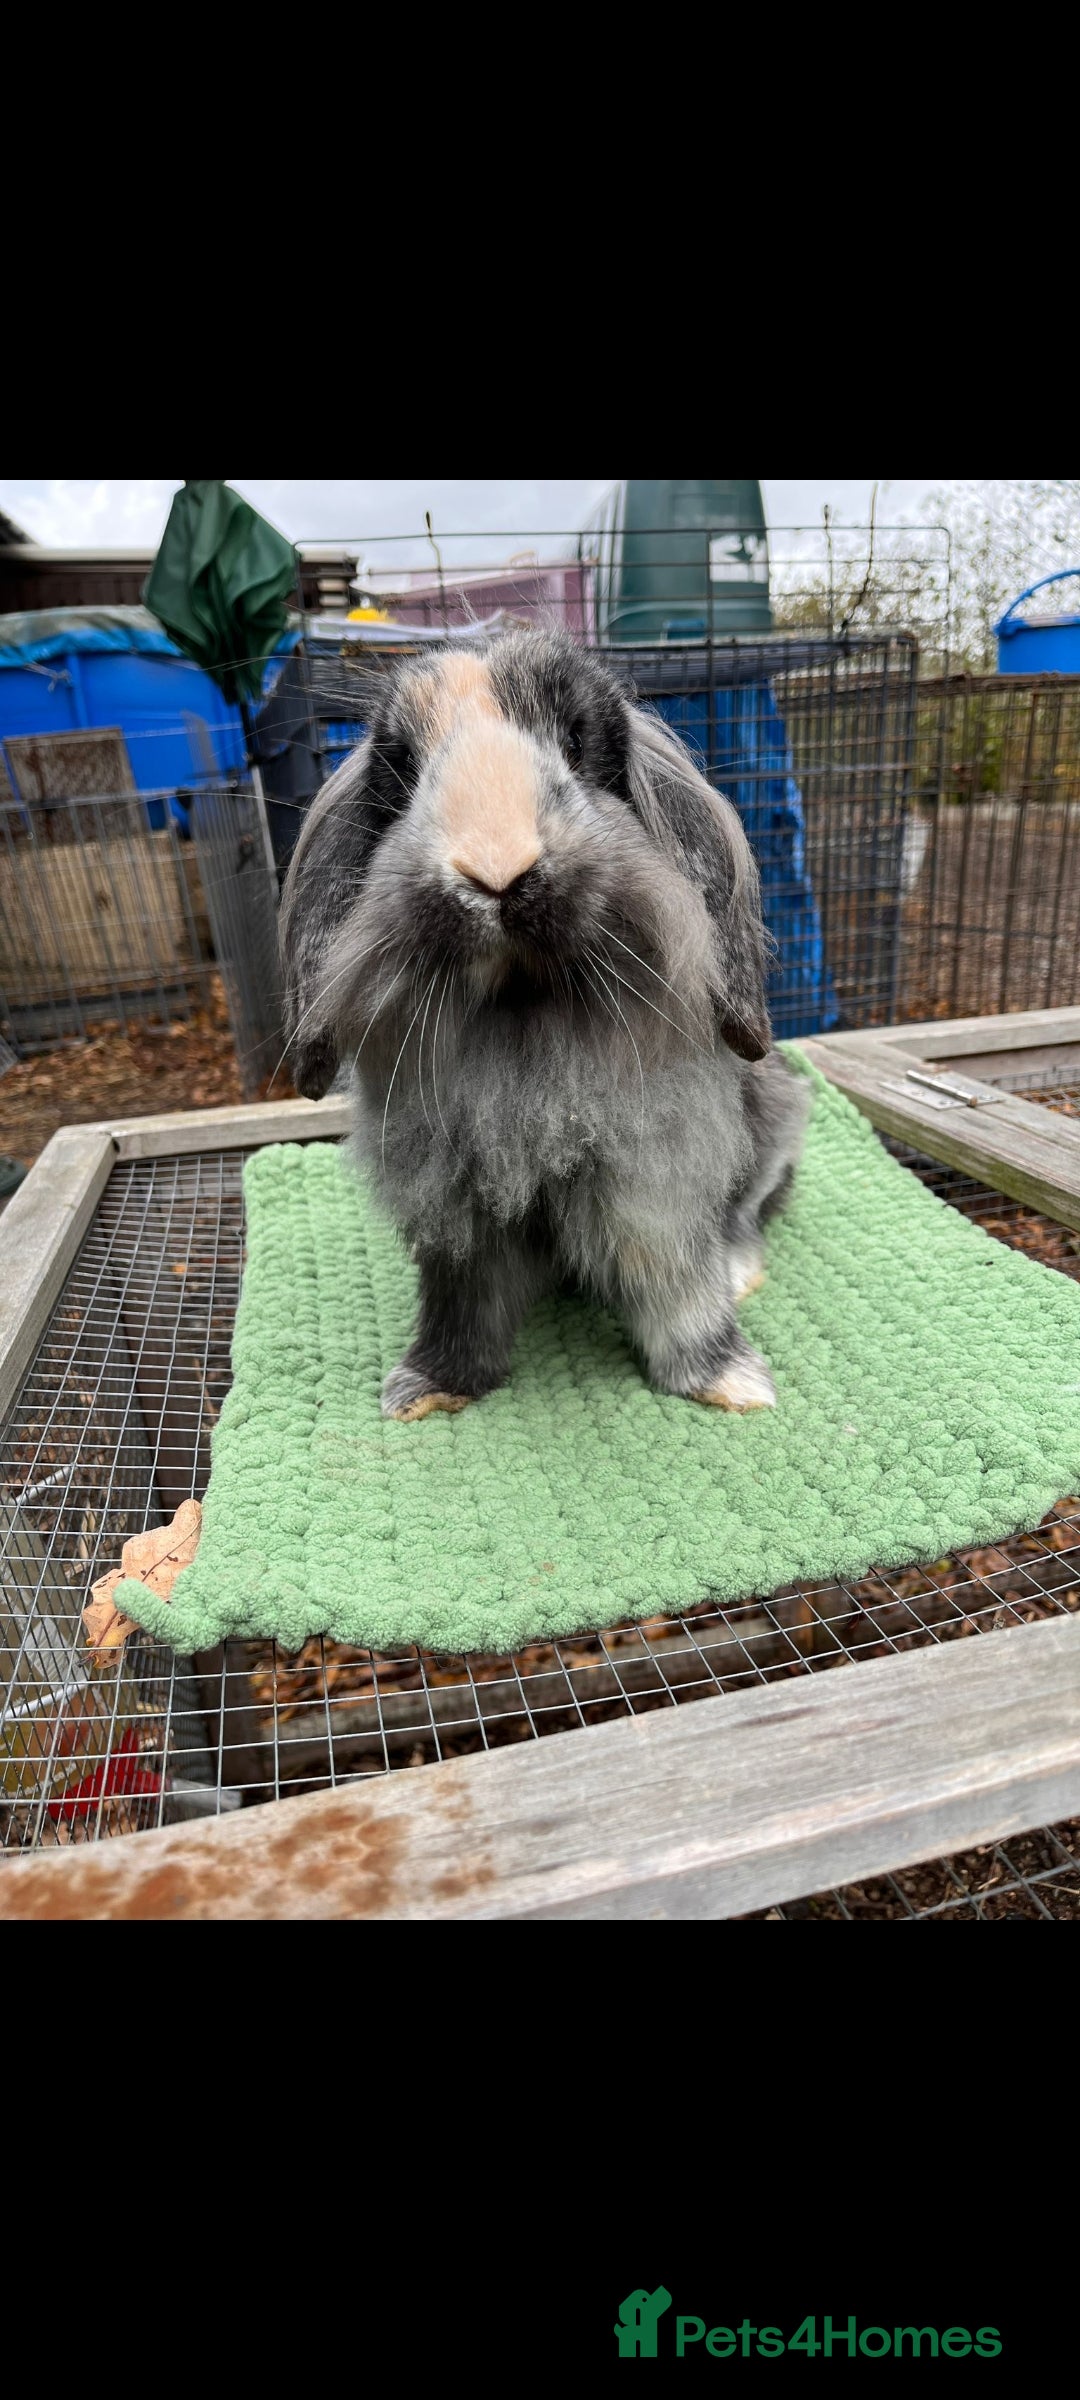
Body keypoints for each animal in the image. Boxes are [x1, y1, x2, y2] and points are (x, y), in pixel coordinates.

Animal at [279, 628, 809, 1421]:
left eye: (577, 740)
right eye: (402, 766)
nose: (496, 868)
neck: (524, 1012)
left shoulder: (654, 1180)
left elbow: (676, 1283)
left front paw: (727, 1382)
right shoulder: (452, 1202)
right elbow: (460, 1301)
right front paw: (429, 1388)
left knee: (749, 1214)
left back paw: (740, 1272)